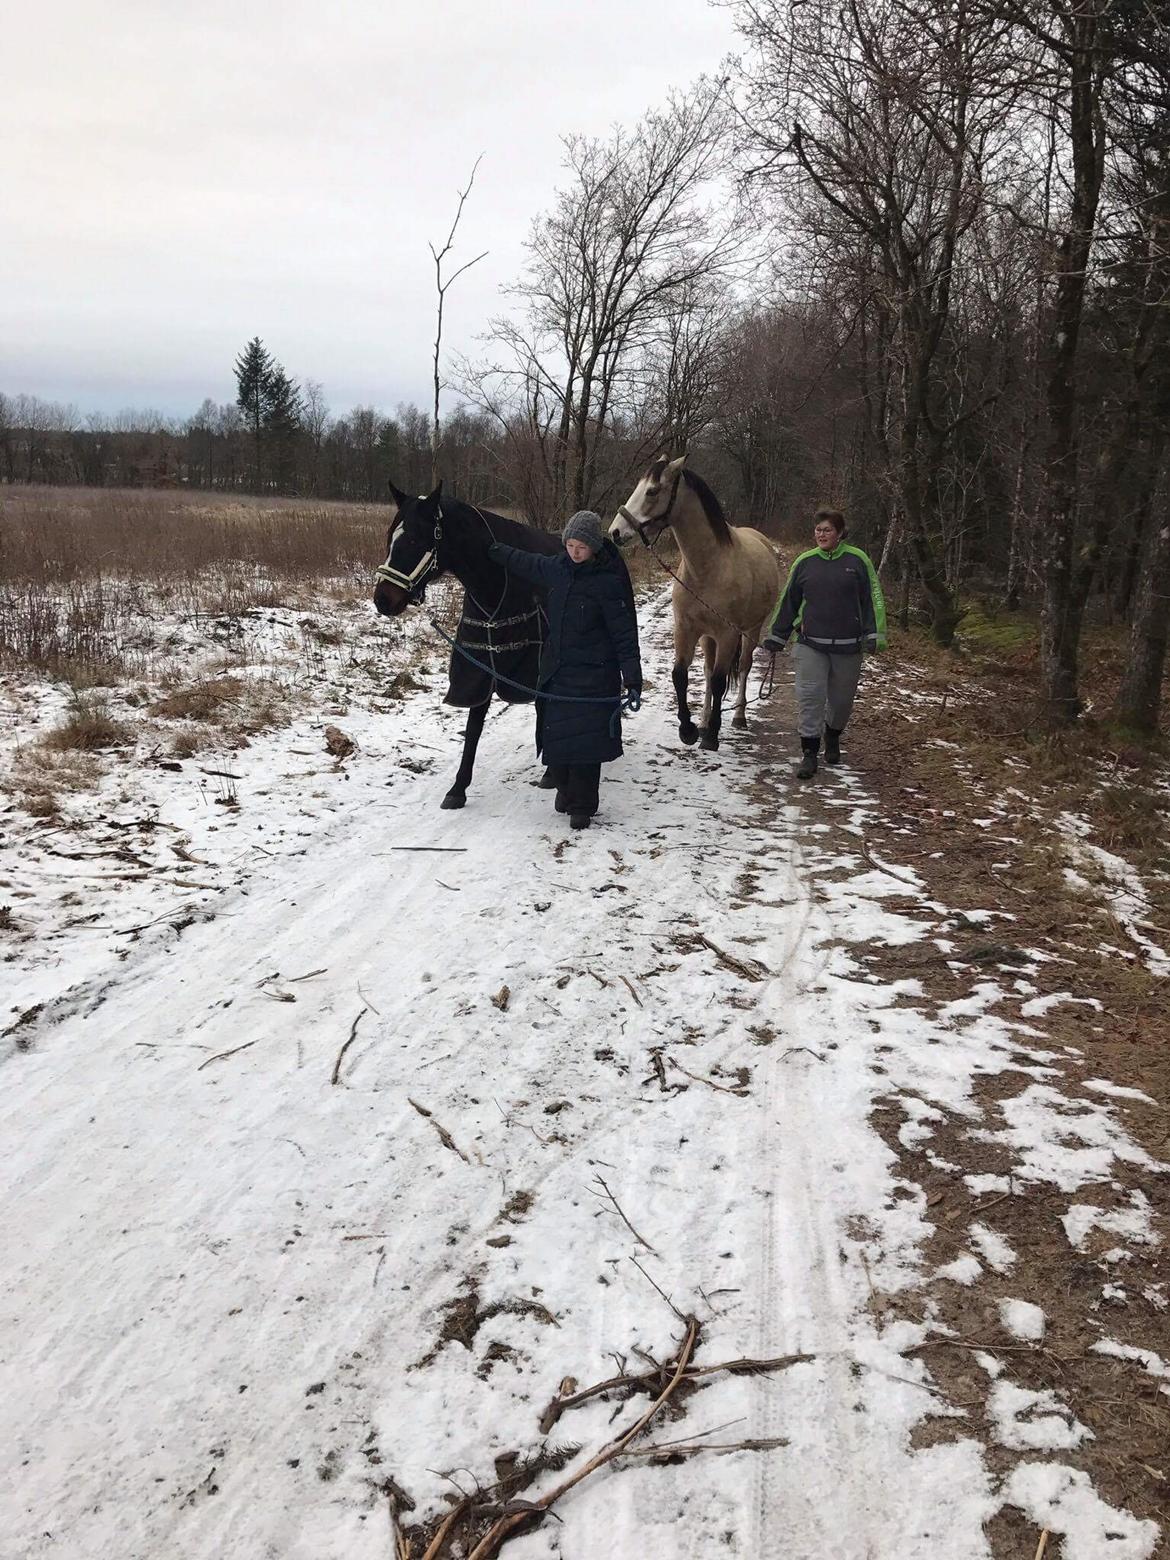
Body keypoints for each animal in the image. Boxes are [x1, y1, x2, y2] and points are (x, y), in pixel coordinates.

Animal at [372, 480, 561, 811]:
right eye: (390, 536)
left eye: (414, 539)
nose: (383, 599)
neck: (499, 584)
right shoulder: (479, 667)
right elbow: (473, 729)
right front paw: (458, 788)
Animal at [608, 455, 783, 748]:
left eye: (652, 491)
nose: (616, 532)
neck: (708, 569)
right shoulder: (686, 629)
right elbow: (681, 675)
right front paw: (689, 729)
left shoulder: (727, 634)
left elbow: (721, 680)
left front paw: (711, 736)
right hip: (707, 637)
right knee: (708, 670)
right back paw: (703, 720)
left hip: (750, 630)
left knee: (742, 667)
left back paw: (738, 716)